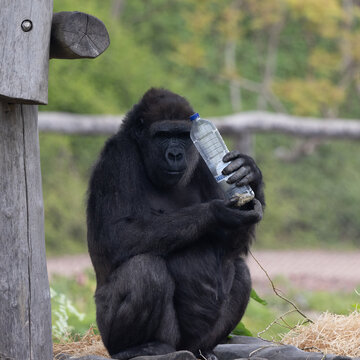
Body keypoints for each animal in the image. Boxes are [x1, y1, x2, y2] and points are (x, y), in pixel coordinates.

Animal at [86, 87, 262, 360]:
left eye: (181, 136)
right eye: (163, 136)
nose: (176, 154)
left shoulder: (201, 162)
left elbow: (231, 246)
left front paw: (249, 173)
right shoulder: (116, 158)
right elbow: (117, 235)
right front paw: (217, 212)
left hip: (190, 343)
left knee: (240, 271)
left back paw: (203, 349)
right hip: (108, 334)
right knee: (145, 270)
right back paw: (140, 347)